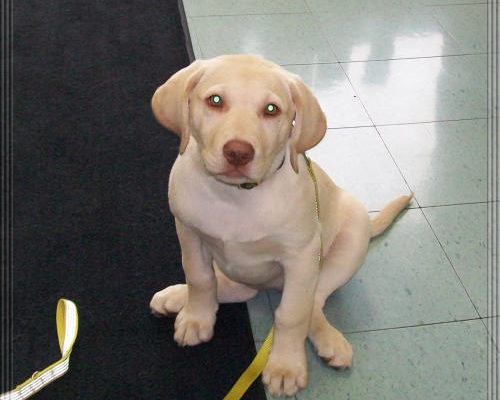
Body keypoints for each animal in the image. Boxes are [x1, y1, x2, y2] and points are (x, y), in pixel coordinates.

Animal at [149, 54, 414, 396]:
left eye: (271, 109)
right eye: (215, 101)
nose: (238, 152)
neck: (237, 196)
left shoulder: (302, 257)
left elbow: (291, 314)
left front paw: (285, 366)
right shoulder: (189, 232)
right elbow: (200, 279)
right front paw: (197, 318)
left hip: (351, 237)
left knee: (314, 302)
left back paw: (330, 342)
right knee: (232, 286)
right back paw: (175, 297)